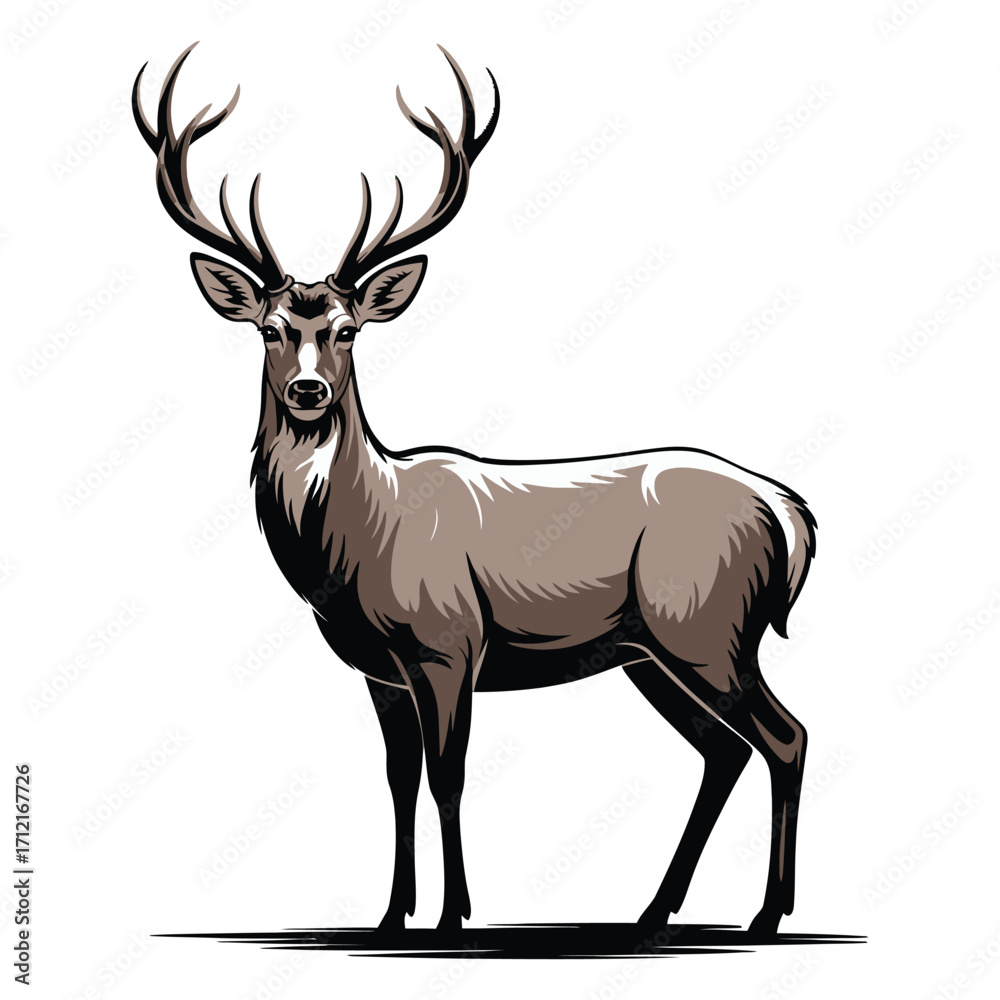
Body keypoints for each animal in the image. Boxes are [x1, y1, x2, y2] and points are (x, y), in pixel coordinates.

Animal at [133, 42, 816, 938]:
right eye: (272, 329)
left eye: (346, 330)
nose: (309, 390)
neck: (358, 542)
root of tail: (790, 512)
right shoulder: (380, 669)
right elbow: (398, 780)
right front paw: (391, 915)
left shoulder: (447, 639)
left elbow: (447, 775)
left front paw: (455, 915)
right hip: (652, 649)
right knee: (725, 748)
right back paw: (654, 910)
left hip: (708, 625)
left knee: (784, 735)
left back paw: (767, 914)